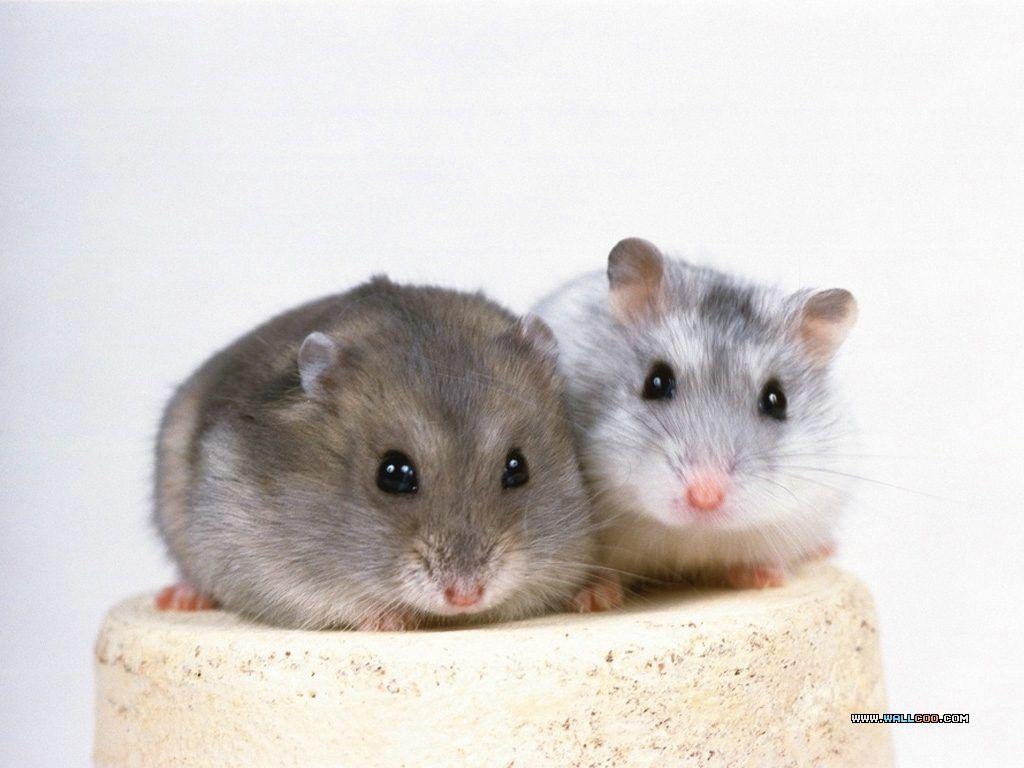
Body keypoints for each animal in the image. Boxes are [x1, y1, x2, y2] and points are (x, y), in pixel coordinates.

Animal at [153, 276, 598, 630]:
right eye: (393, 473)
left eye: (517, 468)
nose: (466, 596)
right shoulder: (267, 567)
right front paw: (393, 620)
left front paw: (588, 598)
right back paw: (179, 598)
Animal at [533, 238, 858, 592]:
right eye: (656, 382)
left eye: (776, 400)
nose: (704, 497)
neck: (690, 532)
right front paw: (594, 596)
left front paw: (767, 578)